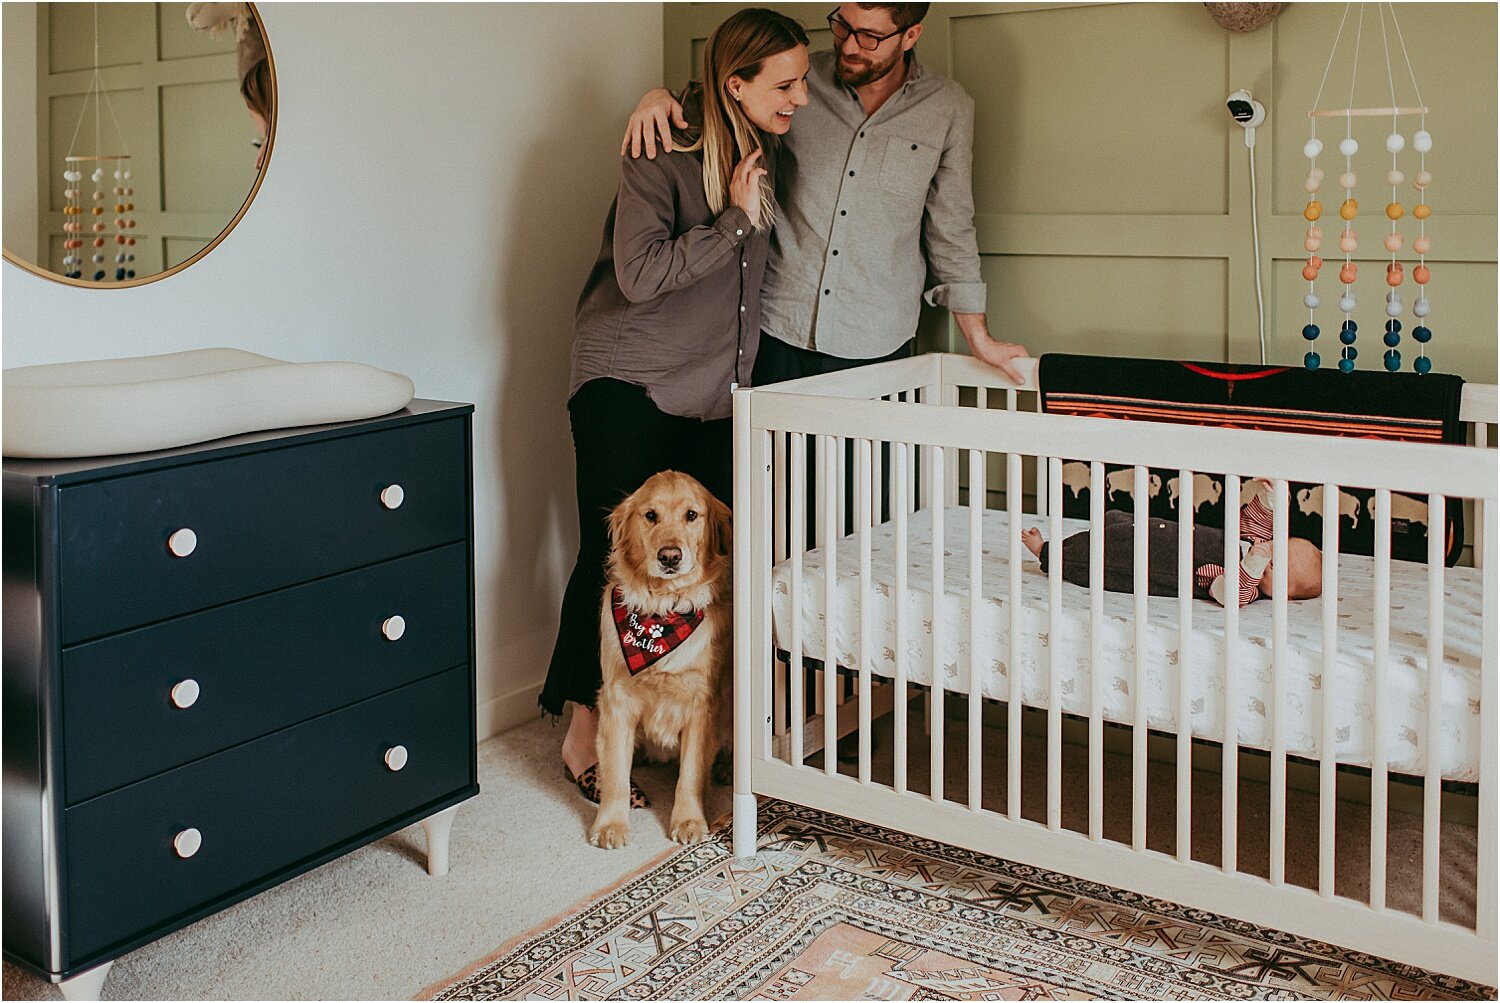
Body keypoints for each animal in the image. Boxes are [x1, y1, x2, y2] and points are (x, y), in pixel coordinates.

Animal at [591, 470, 732, 845]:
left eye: (692, 515)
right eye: (650, 515)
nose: (670, 556)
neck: (663, 611)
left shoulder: (702, 702)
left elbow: (691, 773)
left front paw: (688, 820)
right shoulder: (617, 698)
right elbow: (615, 771)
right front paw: (610, 824)